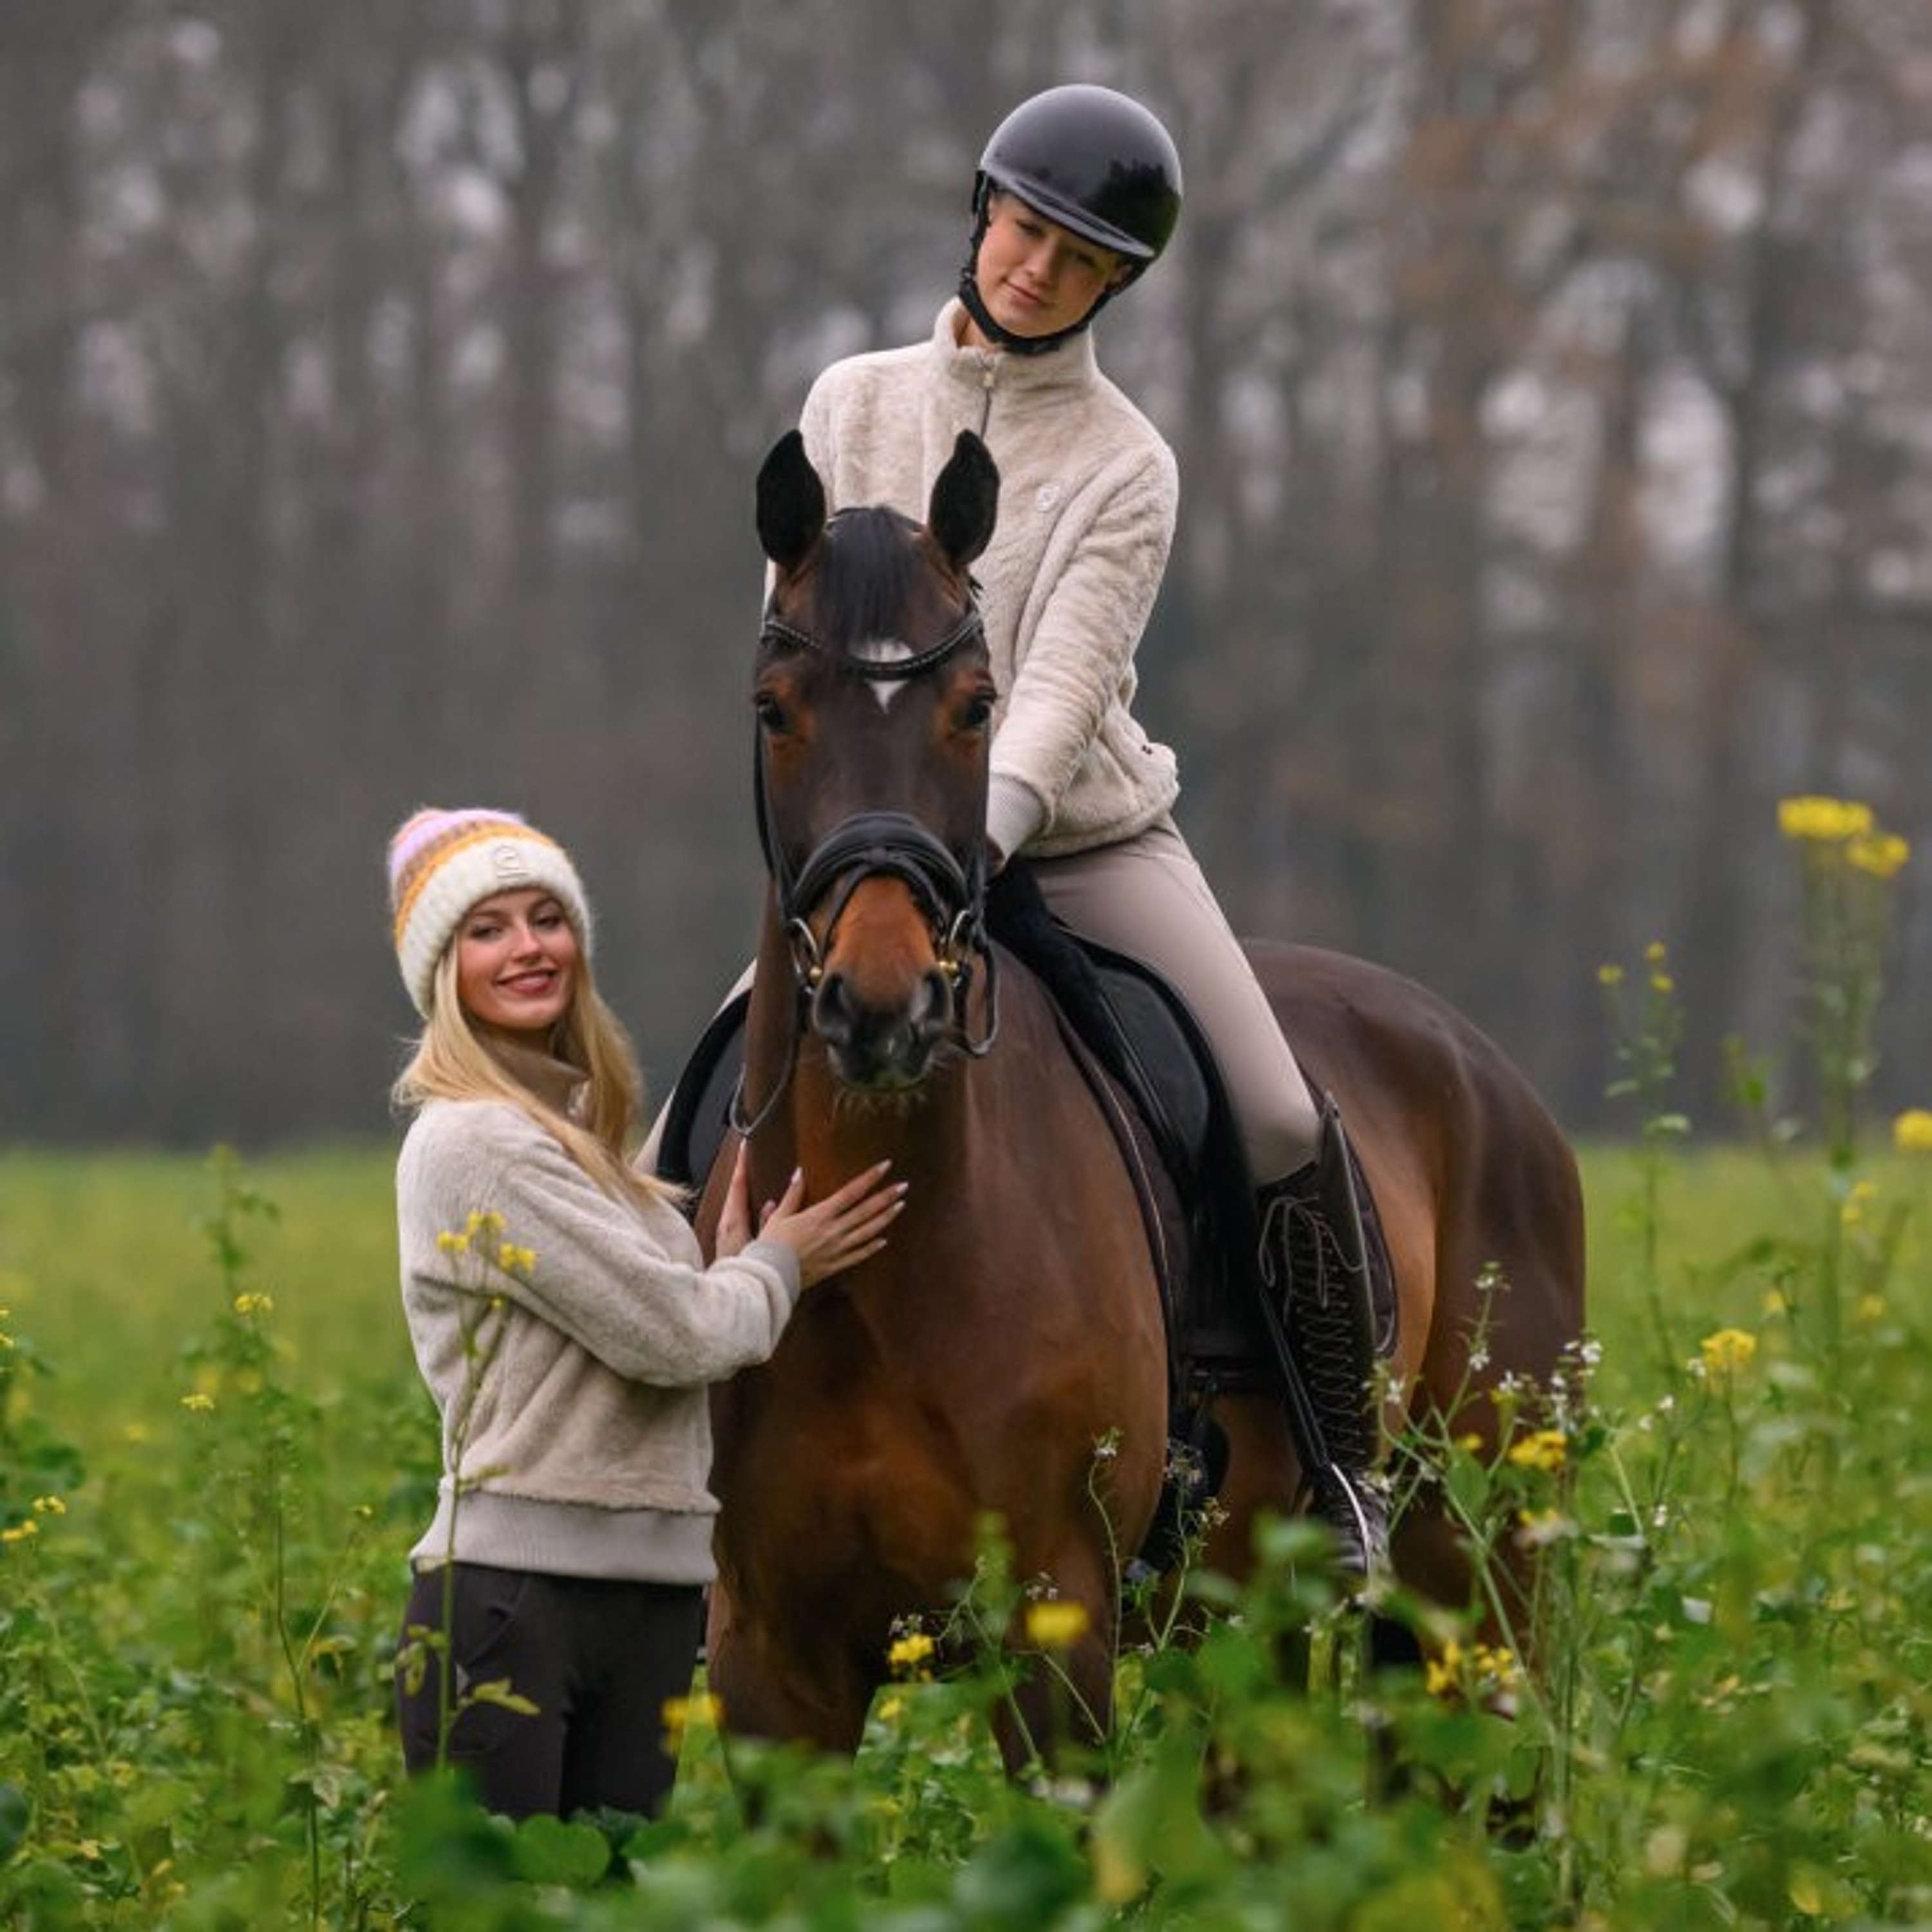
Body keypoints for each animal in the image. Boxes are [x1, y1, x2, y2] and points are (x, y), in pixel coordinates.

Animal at [690, 427, 1586, 1760]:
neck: (882, 1254)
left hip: (1478, 1581)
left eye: (978, 707)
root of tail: (1489, 1069)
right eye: (773, 709)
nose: (883, 1007)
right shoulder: (772, 1661)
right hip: (1257, 1633)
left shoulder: (1053, 1630)